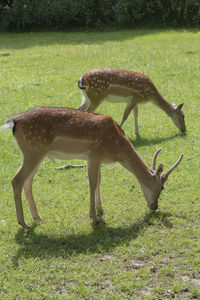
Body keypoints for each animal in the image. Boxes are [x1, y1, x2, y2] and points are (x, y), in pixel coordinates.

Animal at [0, 107, 184, 227]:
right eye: (162, 187)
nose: (155, 207)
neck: (116, 149)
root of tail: (13, 121)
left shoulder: (96, 158)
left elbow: (99, 182)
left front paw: (100, 209)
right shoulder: (94, 154)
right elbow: (92, 183)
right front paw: (94, 217)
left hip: (35, 154)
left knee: (27, 182)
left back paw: (37, 217)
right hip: (34, 151)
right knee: (16, 180)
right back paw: (23, 222)